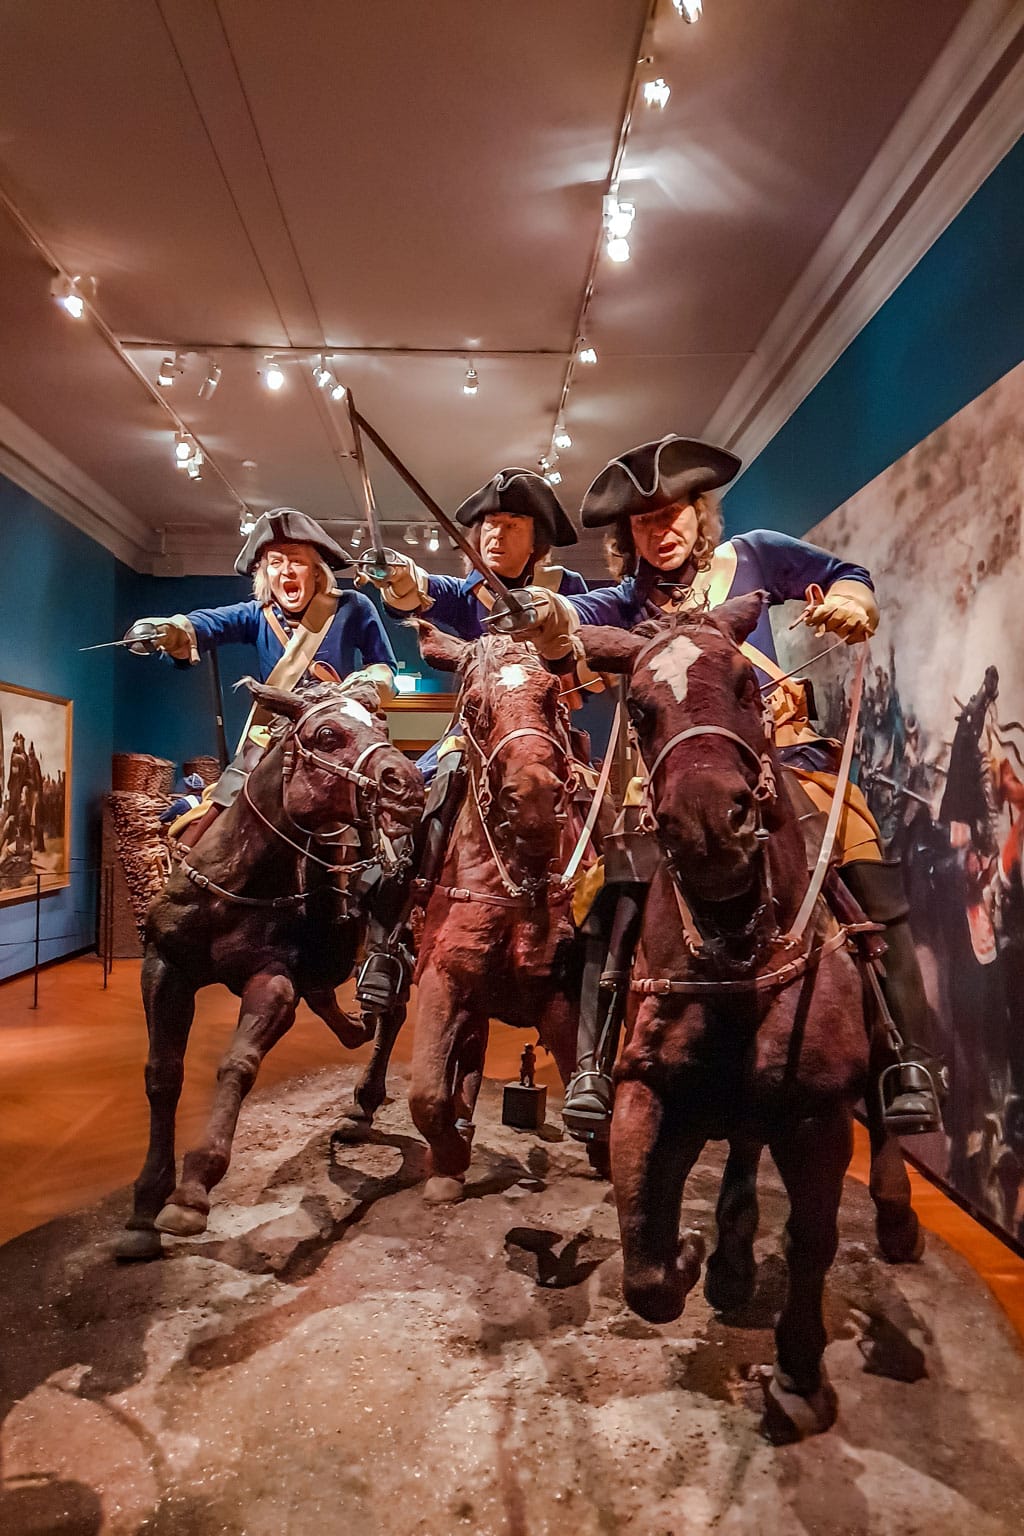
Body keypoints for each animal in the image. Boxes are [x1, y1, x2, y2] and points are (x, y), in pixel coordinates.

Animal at [115, 681, 423, 1259]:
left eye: (383, 727)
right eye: (327, 734)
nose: (409, 785)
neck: (235, 881)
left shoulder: (273, 982)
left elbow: (238, 1063)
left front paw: (193, 1190)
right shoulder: (165, 968)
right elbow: (162, 1074)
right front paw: (145, 1205)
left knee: (390, 1013)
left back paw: (363, 1103)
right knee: (348, 1011)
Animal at [408, 629, 583, 1204]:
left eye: (553, 698)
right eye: (473, 707)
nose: (533, 800)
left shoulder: (559, 992)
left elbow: (578, 1067)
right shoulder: (442, 978)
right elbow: (426, 1091)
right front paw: (448, 1164)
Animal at [580, 592, 927, 1443]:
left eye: (745, 685)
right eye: (640, 710)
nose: (709, 824)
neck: (739, 945)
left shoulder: (816, 1116)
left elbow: (812, 1241)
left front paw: (799, 1375)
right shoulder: (648, 1092)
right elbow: (642, 1255)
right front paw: (690, 1253)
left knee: (887, 1100)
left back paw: (897, 1215)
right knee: (740, 1147)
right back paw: (732, 1256)